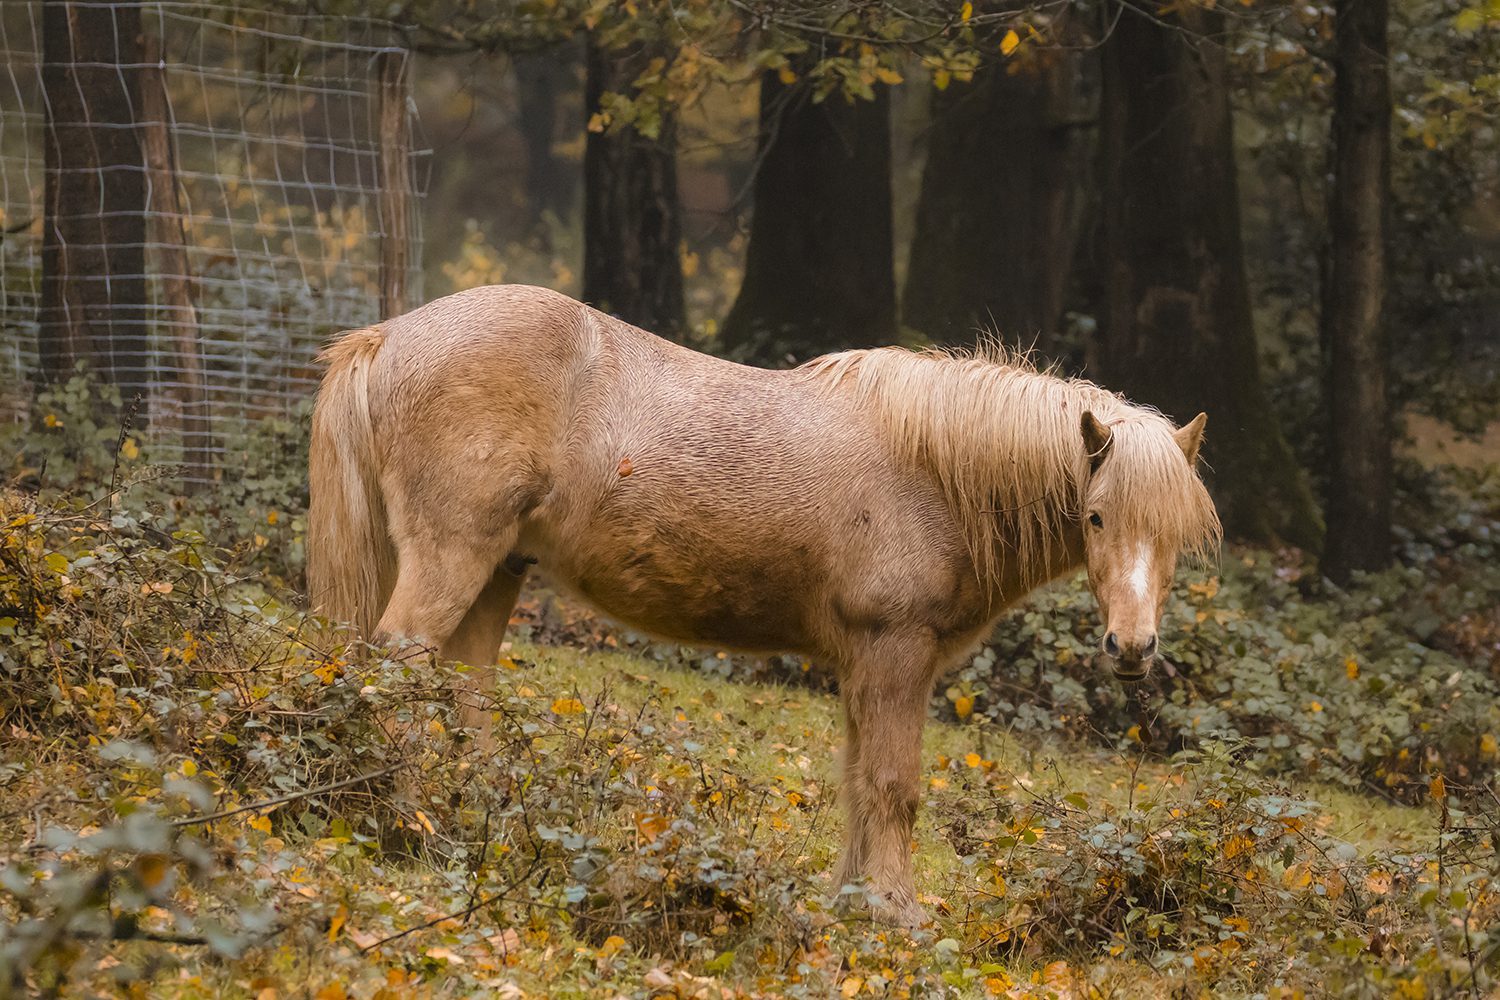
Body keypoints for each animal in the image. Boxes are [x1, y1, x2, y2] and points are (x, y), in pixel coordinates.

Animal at [304, 281, 1218, 923]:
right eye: (1096, 517)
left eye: (1175, 534)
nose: (1133, 648)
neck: (933, 471)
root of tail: (390, 336)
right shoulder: (896, 652)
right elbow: (894, 785)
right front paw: (899, 915)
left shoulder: (867, 664)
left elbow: (858, 780)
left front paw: (853, 905)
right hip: (453, 559)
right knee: (398, 669)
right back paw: (407, 818)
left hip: (498, 573)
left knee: (466, 694)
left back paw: (475, 820)